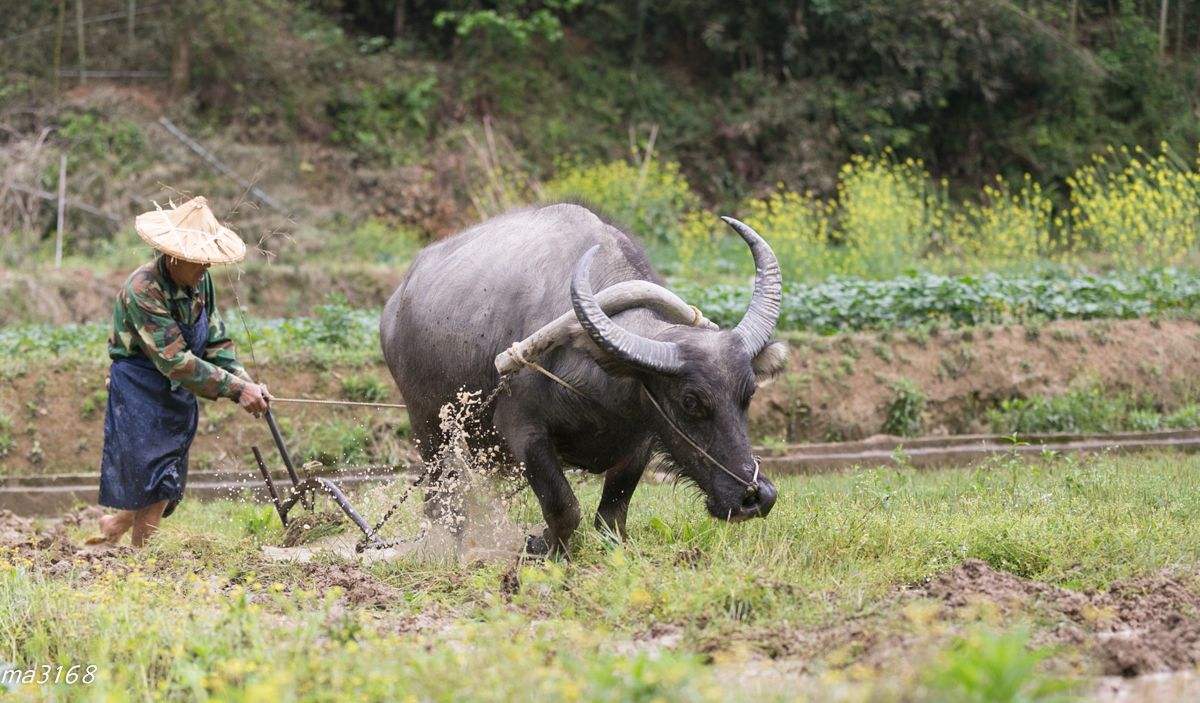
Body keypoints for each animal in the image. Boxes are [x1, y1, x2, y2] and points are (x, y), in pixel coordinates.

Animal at [381, 202, 787, 551]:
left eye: (748, 394)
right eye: (690, 401)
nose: (755, 497)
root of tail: (395, 303)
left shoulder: (641, 440)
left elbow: (611, 515)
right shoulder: (523, 431)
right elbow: (564, 508)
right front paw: (546, 550)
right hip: (429, 427)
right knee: (441, 499)